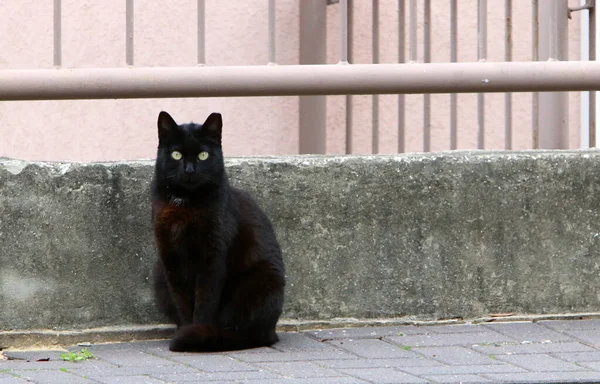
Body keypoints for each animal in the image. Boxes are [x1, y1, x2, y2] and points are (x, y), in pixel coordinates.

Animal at [151, 110, 284, 352]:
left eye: (203, 155)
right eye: (176, 154)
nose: (189, 170)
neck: (185, 203)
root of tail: (273, 331)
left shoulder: (212, 257)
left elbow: (205, 302)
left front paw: (195, 333)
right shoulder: (170, 257)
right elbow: (182, 301)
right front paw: (187, 329)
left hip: (260, 280)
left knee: (248, 332)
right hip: (158, 274)